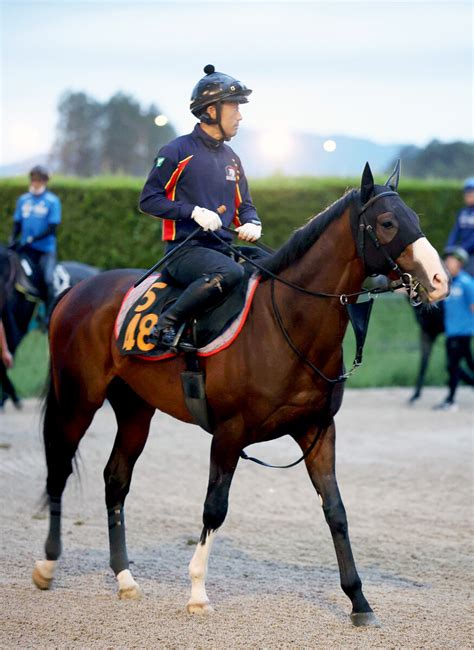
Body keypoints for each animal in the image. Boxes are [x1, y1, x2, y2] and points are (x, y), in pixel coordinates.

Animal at [33, 163, 448, 628]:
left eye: (414, 217)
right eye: (388, 222)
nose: (439, 280)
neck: (284, 323)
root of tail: (75, 290)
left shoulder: (318, 430)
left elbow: (336, 510)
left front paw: (359, 601)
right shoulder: (229, 434)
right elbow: (215, 507)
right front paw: (197, 593)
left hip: (135, 409)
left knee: (115, 481)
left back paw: (124, 579)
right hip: (77, 400)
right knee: (58, 468)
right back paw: (47, 565)